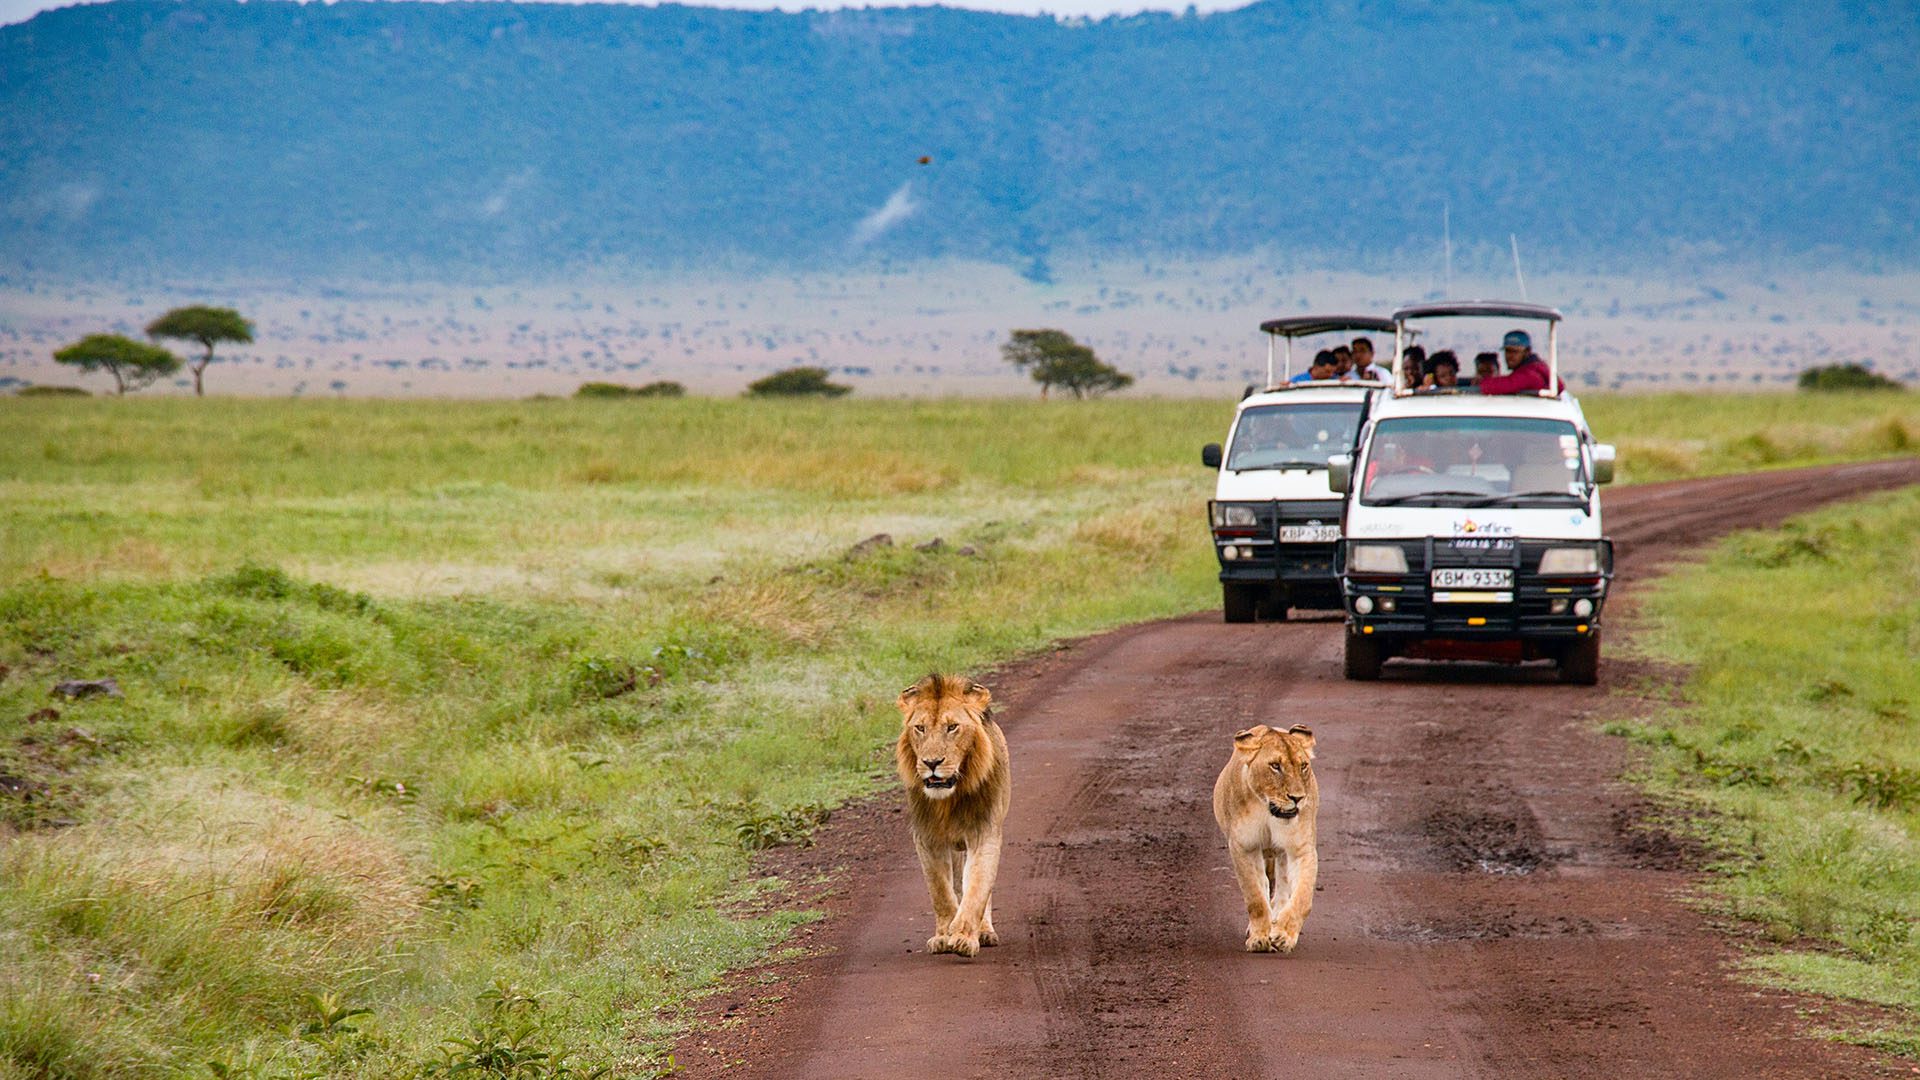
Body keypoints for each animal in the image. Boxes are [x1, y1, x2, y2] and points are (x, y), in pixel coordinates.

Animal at [898, 668, 1021, 953]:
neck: (948, 800)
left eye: (952, 727)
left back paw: (984, 932)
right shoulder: (927, 838)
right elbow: (940, 892)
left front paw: (965, 937)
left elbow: (977, 888)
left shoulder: (985, 833)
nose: (931, 763)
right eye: (920, 728)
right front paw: (944, 936)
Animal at [1213, 722, 1320, 949]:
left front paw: (1284, 935)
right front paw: (1259, 938)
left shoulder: (1301, 848)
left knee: (1282, 885)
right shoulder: (1243, 847)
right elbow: (1255, 897)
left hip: (1281, 853)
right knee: (1264, 882)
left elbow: (1302, 898)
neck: (1268, 810)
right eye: (1275, 766)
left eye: (1303, 766)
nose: (1298, 798)